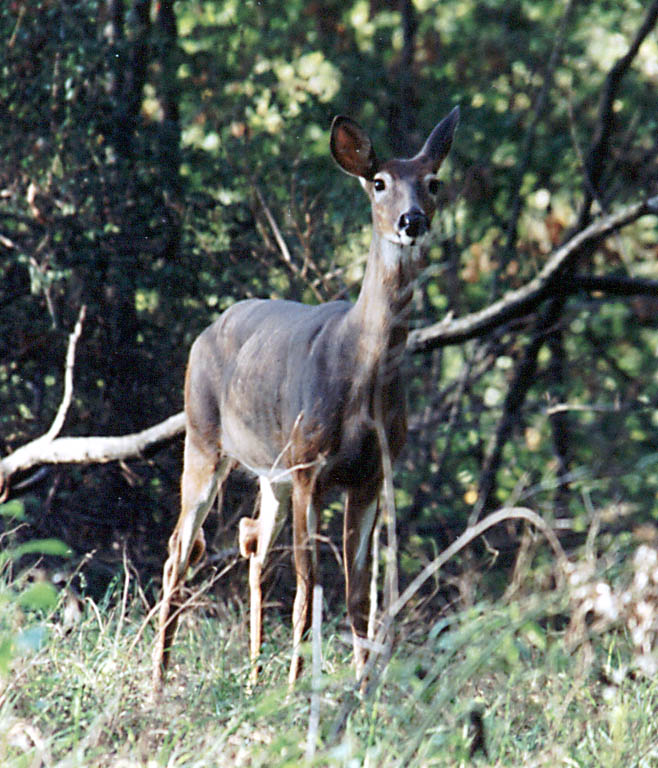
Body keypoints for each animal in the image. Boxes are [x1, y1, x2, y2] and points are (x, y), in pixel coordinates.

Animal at [151, 105, 458, 692]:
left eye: (433, 182)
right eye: (379, 182)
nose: (412, 221)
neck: (361, 380)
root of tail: (206, 332)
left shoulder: (372, 473)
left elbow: (358, 593)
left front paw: (364, 688)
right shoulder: (310, 466)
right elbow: (308, 587)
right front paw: (298, 688)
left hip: (270, 472)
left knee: (252, 545)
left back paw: (251, 677)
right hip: (204, 439)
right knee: (180, 549)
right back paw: (158, 680)